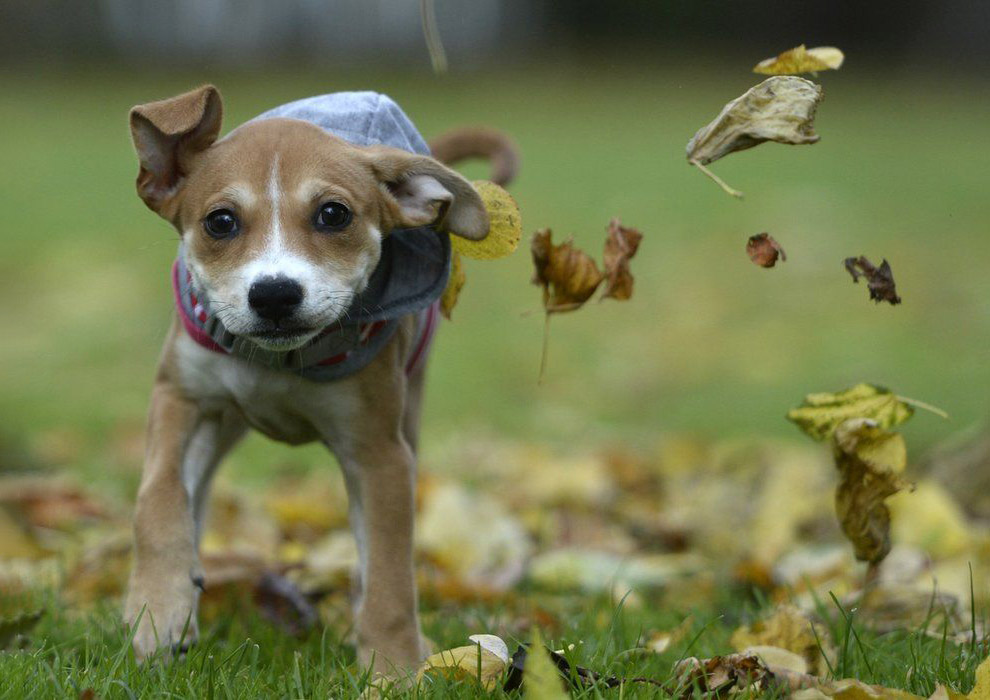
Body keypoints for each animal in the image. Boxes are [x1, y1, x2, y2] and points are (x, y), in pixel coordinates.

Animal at [124, 85, 520, 676]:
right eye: (220, 221)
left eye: (333, 214)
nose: (274, 294)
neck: (281, 363)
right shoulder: (182, 398)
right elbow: (159, 495)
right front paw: (159, 609)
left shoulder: (381, 455)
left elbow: (389, 574)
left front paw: (395, 669)